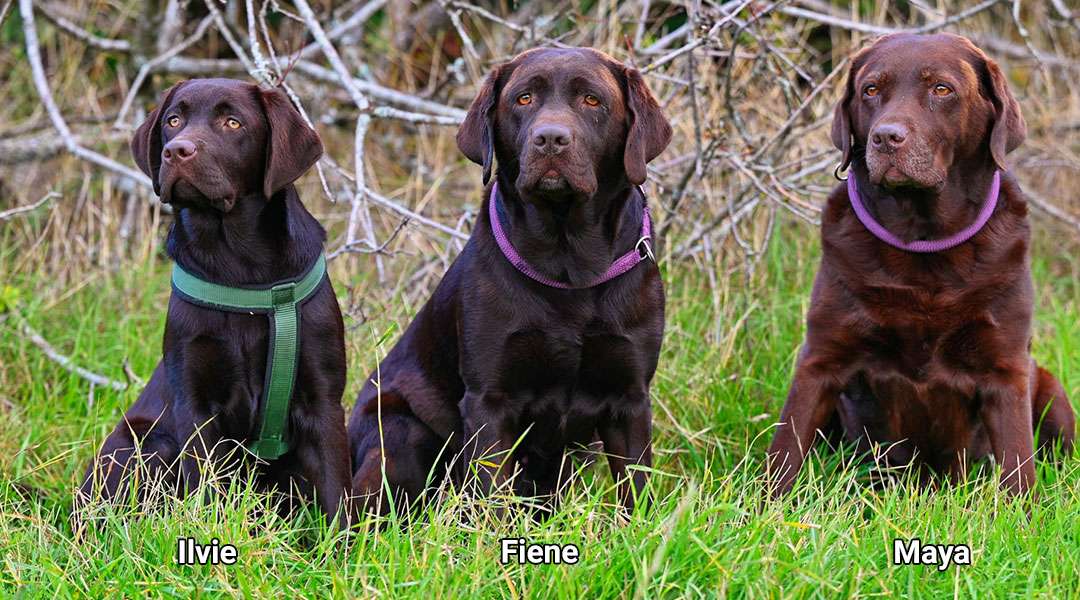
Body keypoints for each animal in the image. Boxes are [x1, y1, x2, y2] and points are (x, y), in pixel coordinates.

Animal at [77, 79, 354, 528]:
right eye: (173, 120)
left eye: (233, 122)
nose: (177, 151)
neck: (240, 266)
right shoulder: (195, 403)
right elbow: (207, 491)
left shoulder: (323, 400)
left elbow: (336, 493)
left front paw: (342, 546)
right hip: (143, 443)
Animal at [345, 46, 669, 515]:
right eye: (523, 99)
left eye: (592, 100)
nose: (550, 139)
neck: (569, 266)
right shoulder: (489, 402)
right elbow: (490, 497)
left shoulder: (630, 397)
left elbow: (636, 492)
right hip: (403, 435)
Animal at [764, 32, 1075, 496]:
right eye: (871, 90)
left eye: (941, 89)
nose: (885, 137)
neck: (923, 242)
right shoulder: (820, 358)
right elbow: (787, 446)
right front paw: (765, 504)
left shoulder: (1006, 370)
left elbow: (1017, 463)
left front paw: (1021, 509)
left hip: (1053, 393)